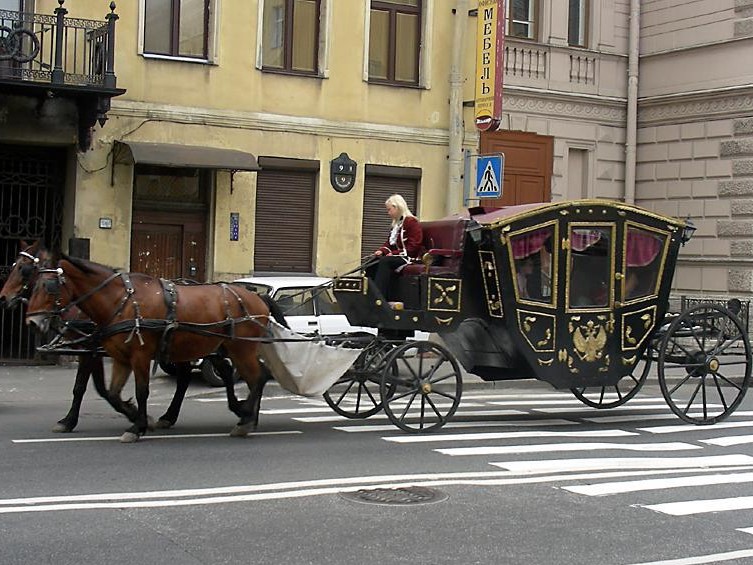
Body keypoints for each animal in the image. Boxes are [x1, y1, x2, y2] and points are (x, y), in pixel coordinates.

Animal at [1, 241, 195, 432]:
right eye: (14, 265)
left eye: (23, 268)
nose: (3, 297)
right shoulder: (90, 350)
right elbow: (97, 387)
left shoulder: (89, 350)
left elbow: (86, 387)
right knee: (184, 377)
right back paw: (169, 416)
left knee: (183, 378)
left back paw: (168, 416)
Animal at [26, 252, 281, 442]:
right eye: (33, 284)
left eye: (48, 286)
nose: (32, 322)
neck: (123, 301)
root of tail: (257, 297)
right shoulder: (120, 357)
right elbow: (112, 392)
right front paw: (138, 418)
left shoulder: (137, 355)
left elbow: (140, 391)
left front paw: (137, 426)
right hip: (221, 347)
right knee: (244, 376)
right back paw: (245, 416)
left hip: (241, 349)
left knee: (257, 378)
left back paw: (246, 417)